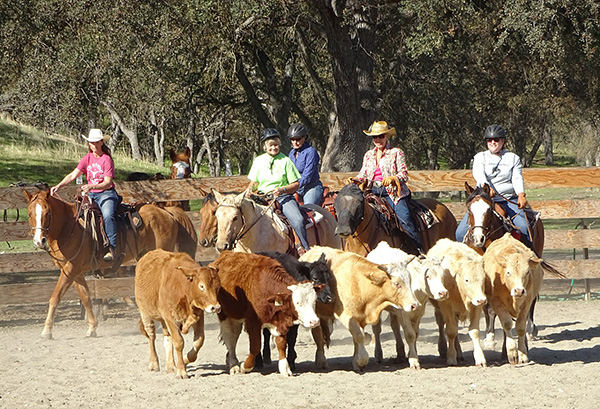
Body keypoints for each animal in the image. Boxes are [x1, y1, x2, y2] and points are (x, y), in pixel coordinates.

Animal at [24, 188, 198, 338]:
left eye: (47, 212)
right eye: (29, 213)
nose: (39, 241)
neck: (68, 227)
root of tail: (166, 212)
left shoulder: (71, 268)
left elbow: (55, 297)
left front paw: (46, 331)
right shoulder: (74, 270)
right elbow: (86, 297)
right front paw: (92, 327)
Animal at [135, 247, 221, 378]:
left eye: (218, 287)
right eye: (202, 286)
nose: (215, 307)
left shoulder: (198, 316)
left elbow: (199, 341)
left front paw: (185, 360)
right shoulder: (170, 318)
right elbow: (179, 342)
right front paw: (181, 371)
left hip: (163, 320)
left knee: (167, 338)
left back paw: (171, 366)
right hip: (144, 312)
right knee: (151, 336)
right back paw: (154, 364)